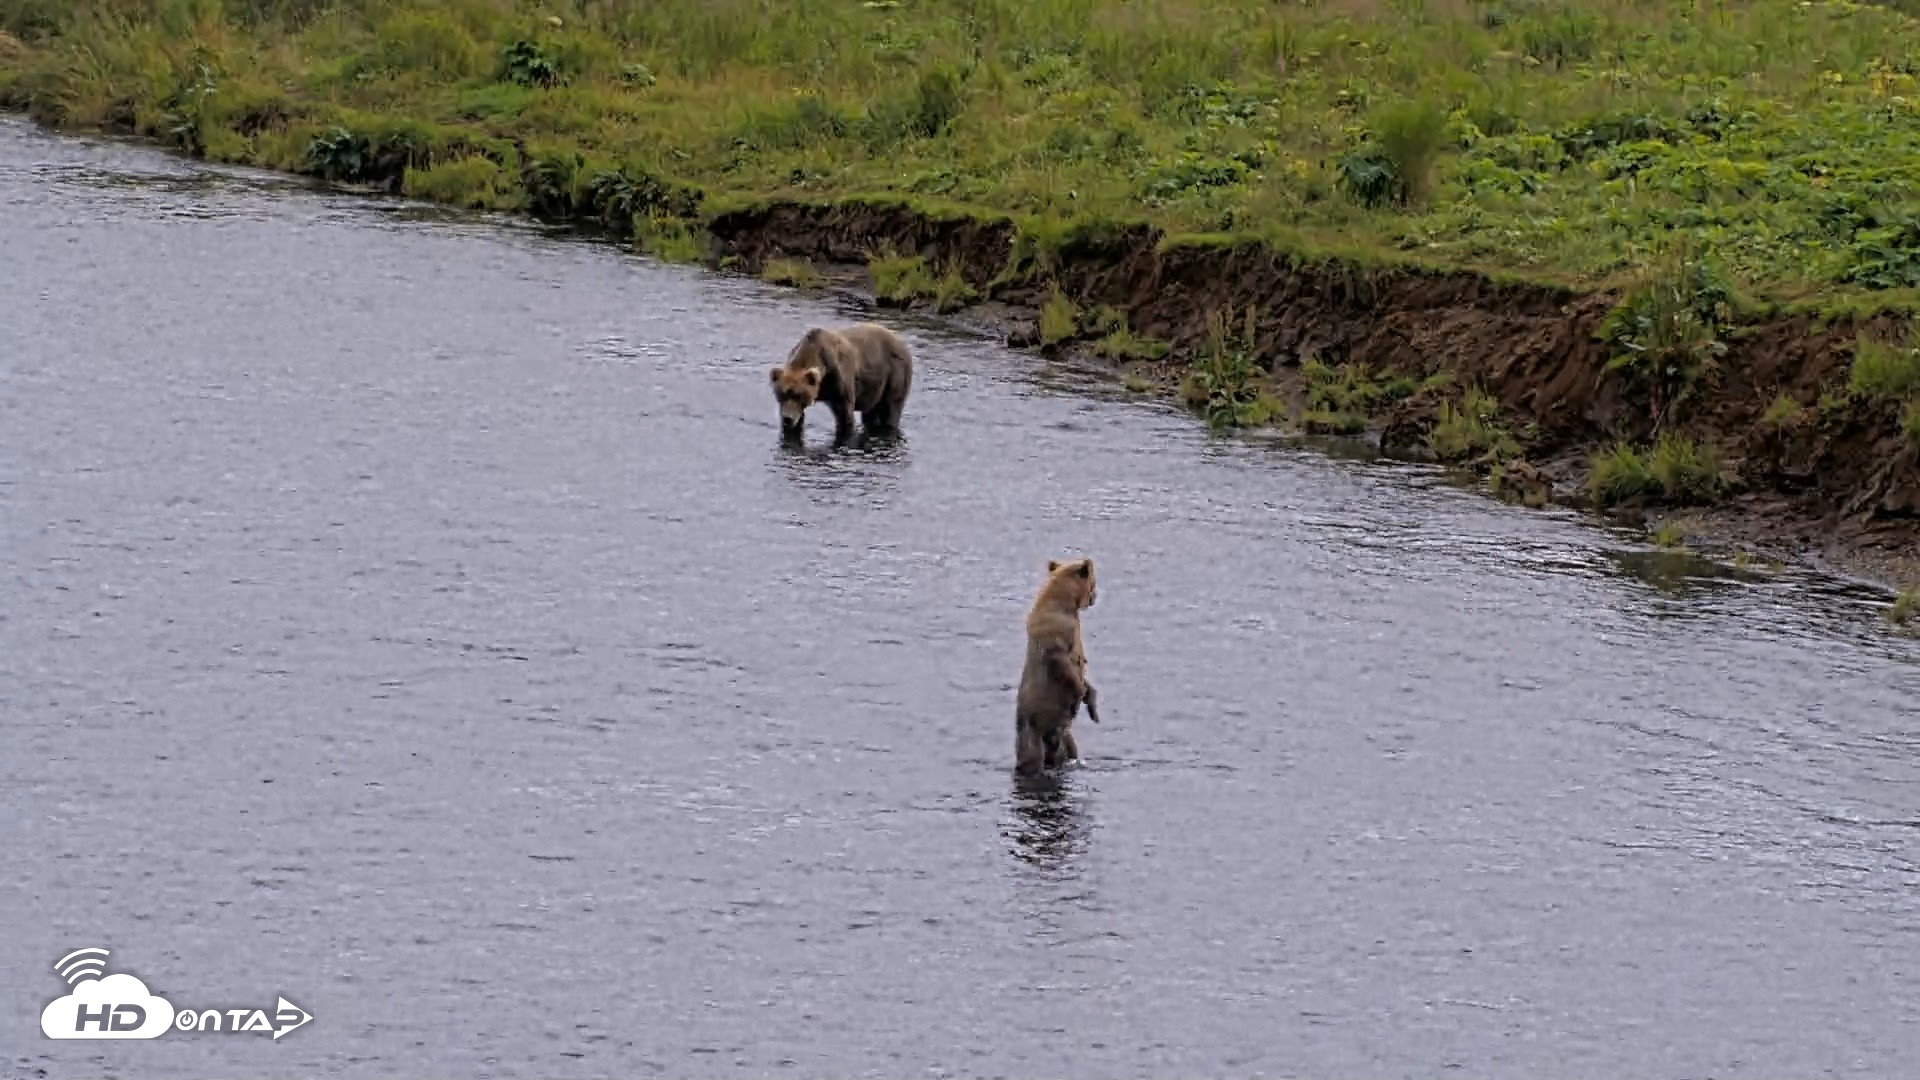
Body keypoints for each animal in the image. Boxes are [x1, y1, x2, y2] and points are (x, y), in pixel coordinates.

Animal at [767, 322, 914, 443]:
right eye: (781, 395)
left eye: (797, 395)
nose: (787, 419)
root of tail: (901, 342)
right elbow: (798, 420)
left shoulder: (839, 380)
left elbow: (844, 415)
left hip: (895, 372)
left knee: (892, 408)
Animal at [1014, 556, 1101, 776]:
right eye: (1094, 582)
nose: (1096, 596)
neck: (1066, 604)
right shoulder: (1055, 632)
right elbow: (1063, 662)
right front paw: (1080, 695)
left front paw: (1092, 702)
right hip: (1032, 726)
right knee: (1030, 755)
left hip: (1064, 735)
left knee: (1068, 750)